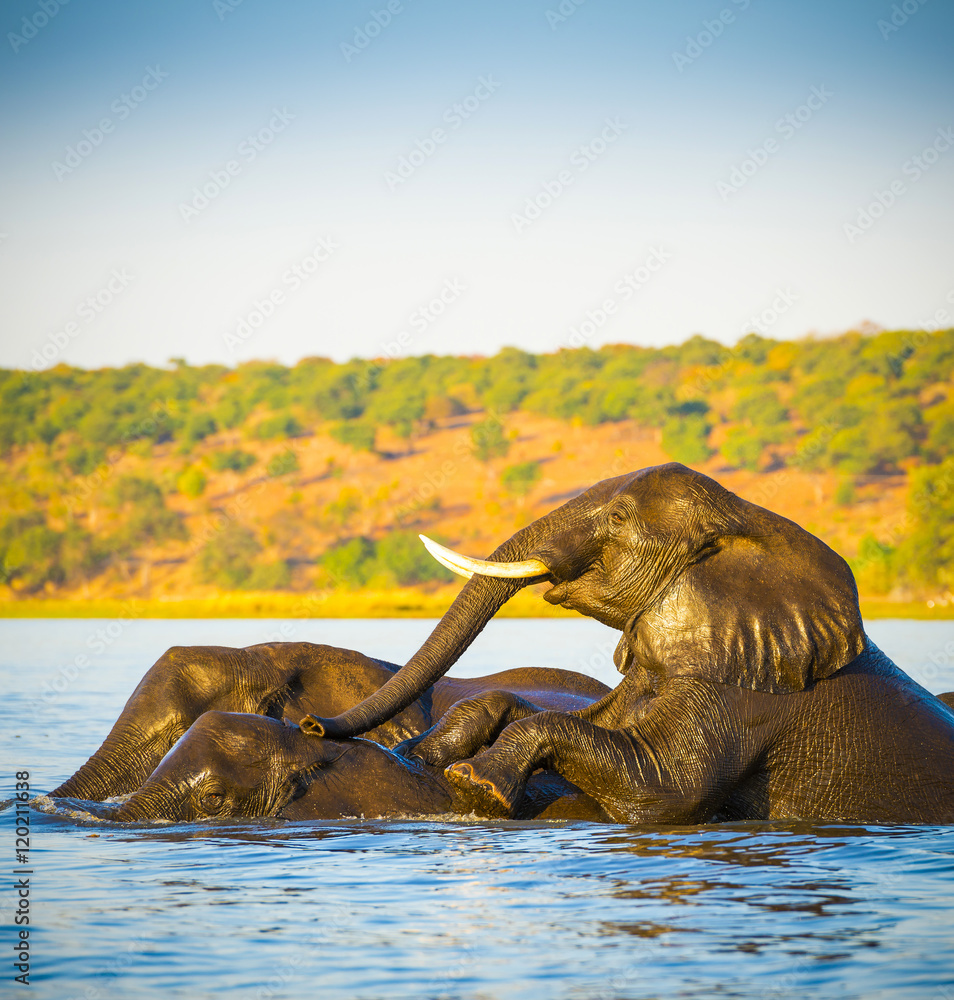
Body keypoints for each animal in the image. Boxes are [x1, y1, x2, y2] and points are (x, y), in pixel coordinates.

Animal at [301, 463, 954, 825]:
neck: (745, 522)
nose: (311, 724)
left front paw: (475, 783)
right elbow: (553, 712)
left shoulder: (749, 696)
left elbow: (664, 791)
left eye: (617, 517)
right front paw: (418, 754)